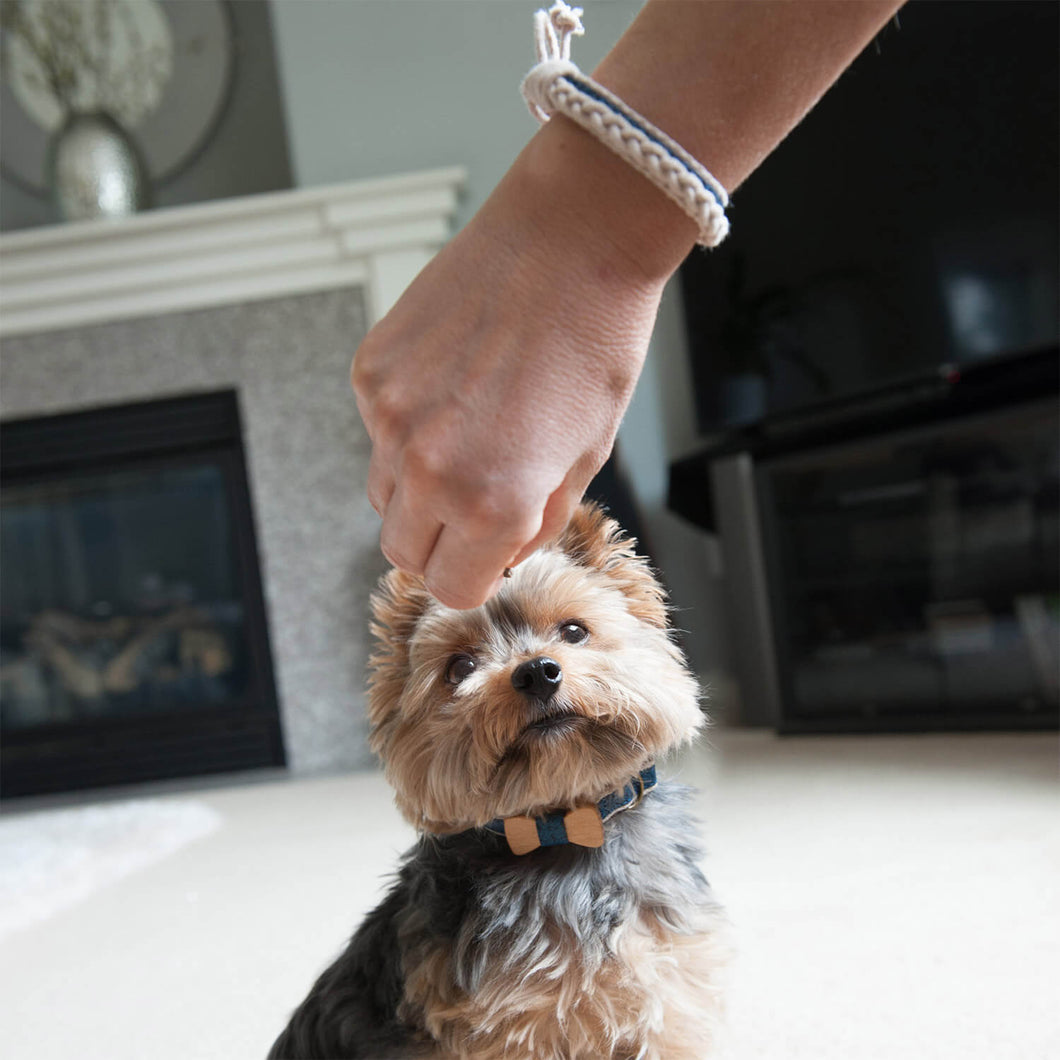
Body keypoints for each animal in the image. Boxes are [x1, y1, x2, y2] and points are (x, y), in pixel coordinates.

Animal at [269, 500, 729, 1055]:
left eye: (574, 631)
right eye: (460, 667)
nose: (536, 672)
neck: (564, 827)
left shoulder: (664, 990)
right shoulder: (513, 1026)